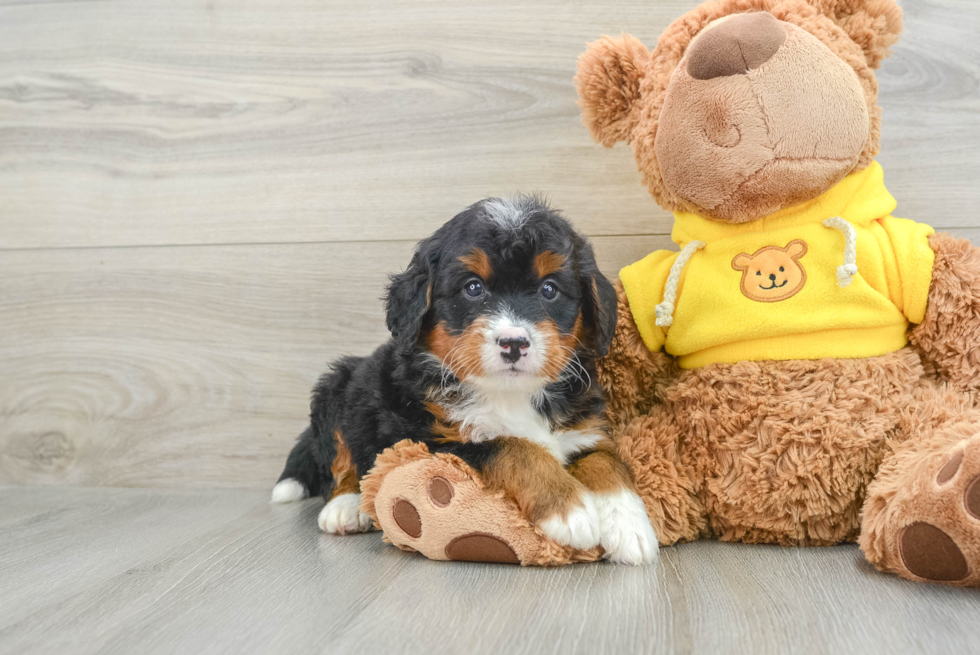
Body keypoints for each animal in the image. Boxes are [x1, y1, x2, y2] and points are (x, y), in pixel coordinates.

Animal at [272, 195, 660, 564]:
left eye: (550, 289)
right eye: (473, 288)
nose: (514, 343)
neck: (509, 394)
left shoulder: (584, 428)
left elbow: (606, 463)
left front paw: (631, 527)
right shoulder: (431, 440)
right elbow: (515, 447)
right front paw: (569, 510)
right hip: (336, 387)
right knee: (340, 461)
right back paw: (346, 506)